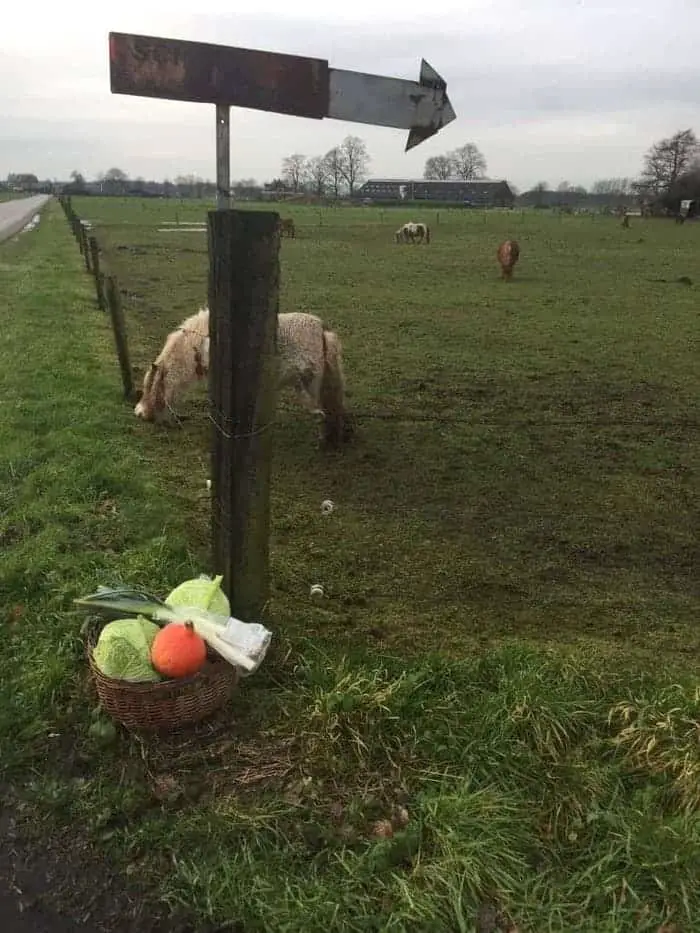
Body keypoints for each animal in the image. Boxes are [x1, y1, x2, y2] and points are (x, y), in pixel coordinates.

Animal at [134, 310, 352, 448]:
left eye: (150, 388)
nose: (141, 413)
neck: (198, 345)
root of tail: (322, 328)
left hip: (310, 386)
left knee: (323, 413)